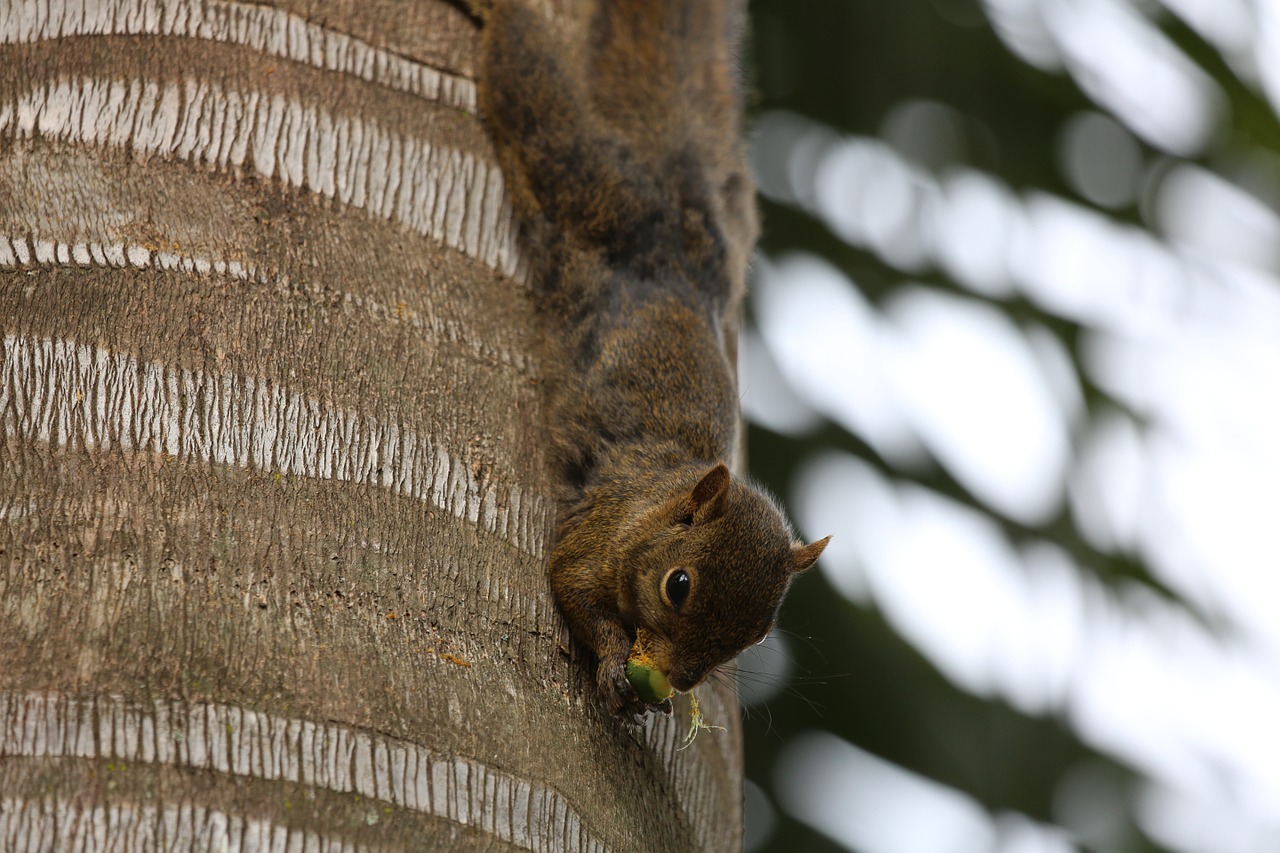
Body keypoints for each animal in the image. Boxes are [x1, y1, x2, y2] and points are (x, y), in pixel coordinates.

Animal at [471, 0, 829, 717]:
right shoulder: (598, 536)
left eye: (756, 634)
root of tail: (678, 241)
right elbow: (572, 585)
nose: (684, 679)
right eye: (679, 585)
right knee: (533, 91)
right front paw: (616, 664)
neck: (660, 499)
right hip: (586, 183)